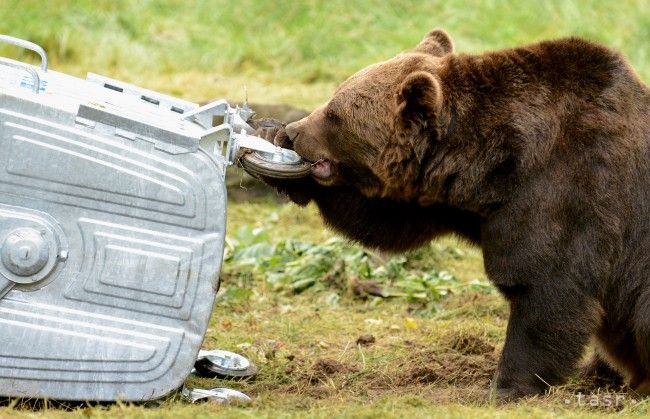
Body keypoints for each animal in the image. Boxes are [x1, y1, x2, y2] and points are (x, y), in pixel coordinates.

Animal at [249, 27, 648, 398]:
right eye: (334, 98)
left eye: (334, 114)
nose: (294, 131)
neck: (492, 166)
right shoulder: (446, 200)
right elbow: (386, 220)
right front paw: (270, 142)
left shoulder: (566, 189)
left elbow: (546, 287)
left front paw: (507, 386)